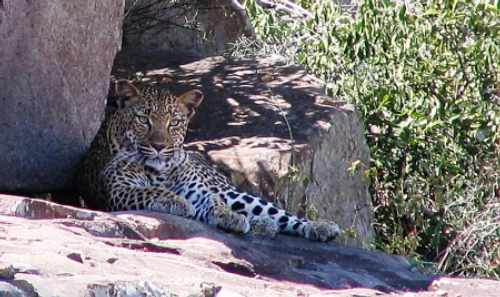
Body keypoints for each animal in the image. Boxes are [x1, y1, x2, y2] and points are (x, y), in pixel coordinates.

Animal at [75, 80, 340, 240]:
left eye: (174, 123)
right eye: (144, 119)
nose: (159, 146)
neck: (159, 171)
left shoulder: (200, 190)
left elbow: (212, 201)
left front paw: (227, 215)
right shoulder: (118, 189)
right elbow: (151, 191)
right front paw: (178, 202)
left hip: (230, 190)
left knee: (275, 212)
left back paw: (319, 227)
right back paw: (262, 225)